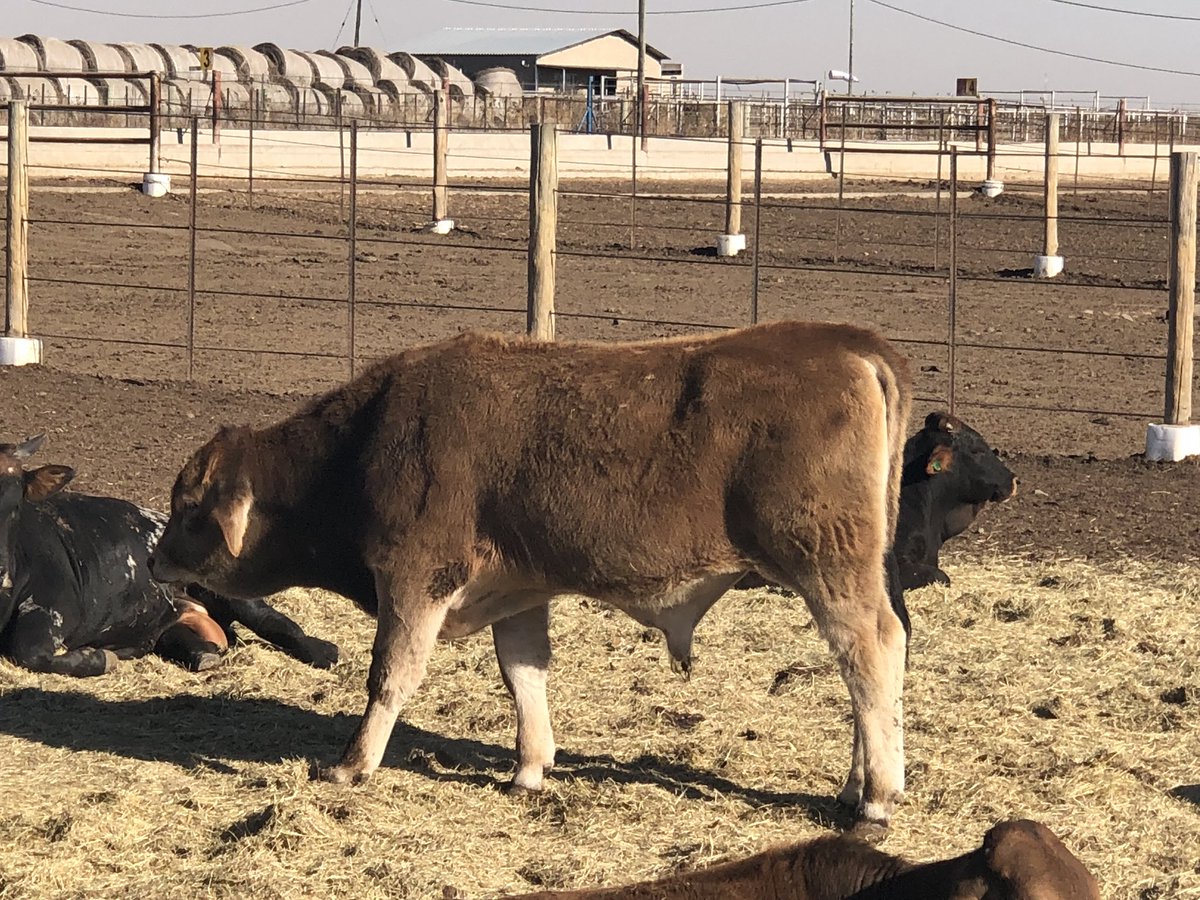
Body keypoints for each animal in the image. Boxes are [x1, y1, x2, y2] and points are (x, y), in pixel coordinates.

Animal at [0, 435, 338, 676]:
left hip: (224, 592)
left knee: (275, 622)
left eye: (17, 504)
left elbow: (29, 652)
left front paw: (100, 657)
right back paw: (204, 656)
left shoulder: (56, 608)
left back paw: (325, 652)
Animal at [148, 322, 912, 831]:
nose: (153, 559)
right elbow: (524, 675)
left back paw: (876, 797)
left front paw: (351, 764)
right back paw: (856, 787)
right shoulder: (515, 591)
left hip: (828, 565)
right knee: (868, 664)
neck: (365, 442)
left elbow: (390, 675)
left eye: (188, 508)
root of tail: (844, 343)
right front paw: (530, 768)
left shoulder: (415, 577)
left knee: (870, 652)